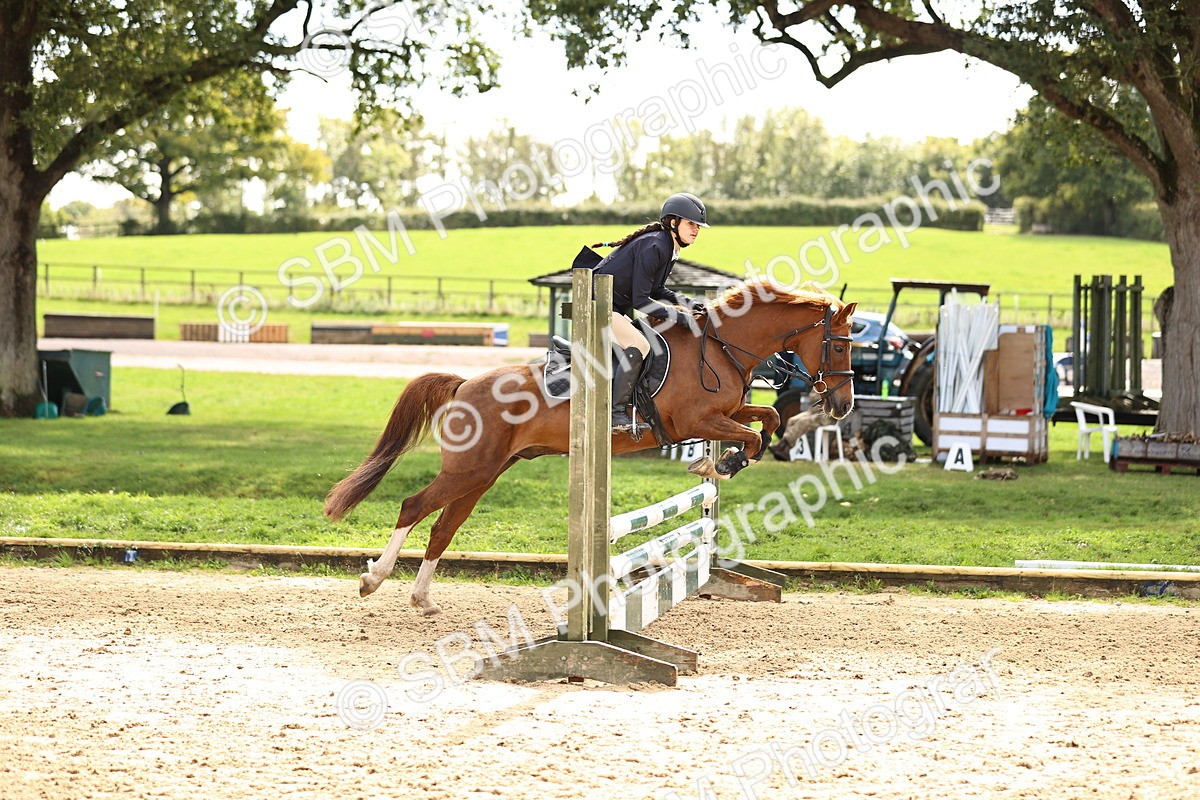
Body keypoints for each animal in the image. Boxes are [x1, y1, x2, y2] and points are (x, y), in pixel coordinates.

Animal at [324, 278, 857, 615]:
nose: (843, 406)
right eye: (840, 345)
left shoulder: (723, 413)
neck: (722, 346)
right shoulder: (696, 419)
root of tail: (464, 384)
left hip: (485, 474)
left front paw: (721, 462)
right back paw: (373, 579)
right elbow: (752, 433)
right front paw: (721, 464)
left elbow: (766, 421)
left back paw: (423, 599)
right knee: (413, 507)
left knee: (442, 528)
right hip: (468, 470)